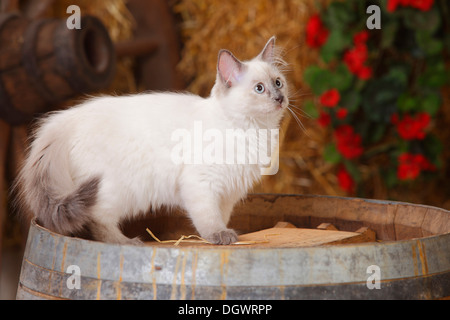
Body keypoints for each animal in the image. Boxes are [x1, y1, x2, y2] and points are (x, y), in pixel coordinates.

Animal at [14, 36, 288, 244]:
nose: (279, 98)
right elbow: (209, 218)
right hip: (114, 190)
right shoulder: (201, 184)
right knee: (97, 220)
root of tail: (64, 119)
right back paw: (126, 243)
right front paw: (219, 236)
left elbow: (222, 215)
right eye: (259, 89)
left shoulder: (229, 192)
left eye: (278, 83)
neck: (252, 130)